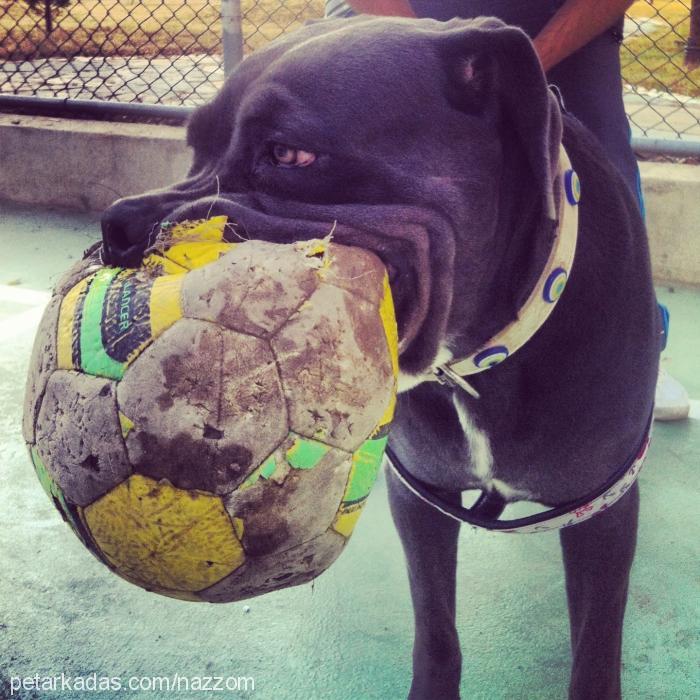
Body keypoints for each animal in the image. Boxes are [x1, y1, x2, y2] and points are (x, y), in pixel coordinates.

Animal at [101, 16, 660, 700]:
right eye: (193, 145)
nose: (118, 224)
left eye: (288, 155)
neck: (477, 363)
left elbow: (596, 650)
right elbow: (437, 629)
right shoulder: (420, 500)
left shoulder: (604, 514)